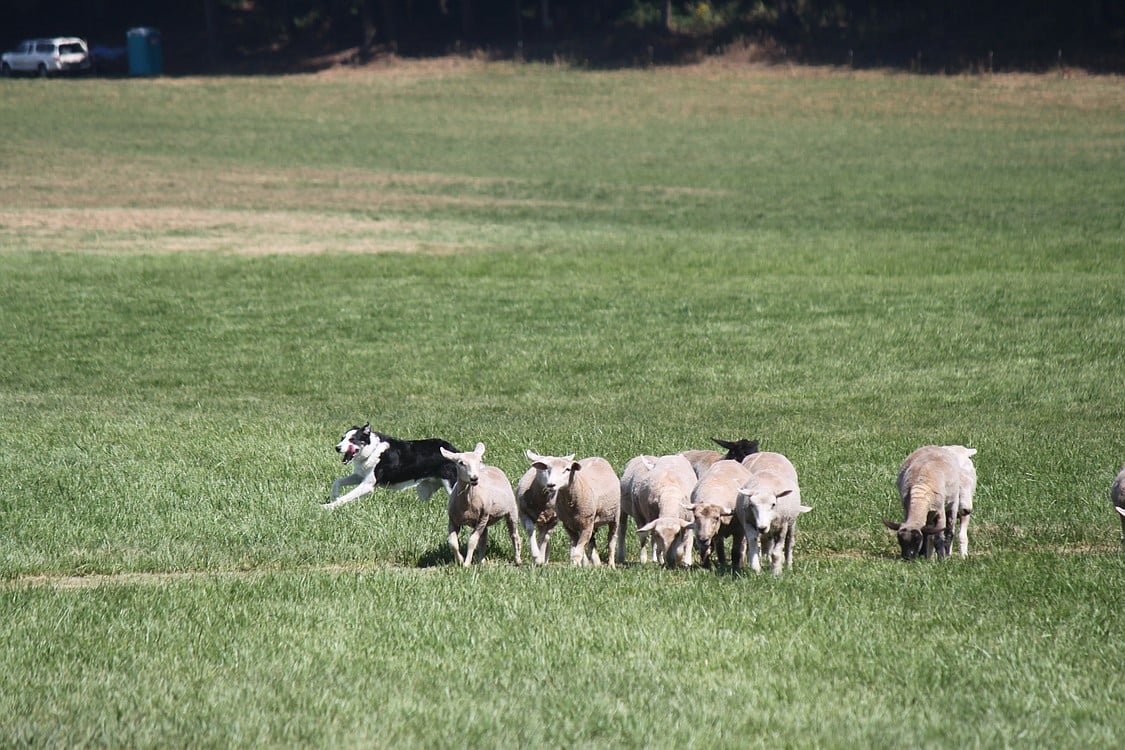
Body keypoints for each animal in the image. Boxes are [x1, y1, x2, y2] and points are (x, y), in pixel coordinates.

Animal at [324, 425, 459, 512]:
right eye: (342, 438)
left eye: (352, 439)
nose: (337, 448)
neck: (372, 450)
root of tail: (455, 451)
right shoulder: (360, 476)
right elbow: (337, 482)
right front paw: (334, 496)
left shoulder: (368, 485)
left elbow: (346, 497)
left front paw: (327, 506)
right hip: (424, 489)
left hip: (451, 485)